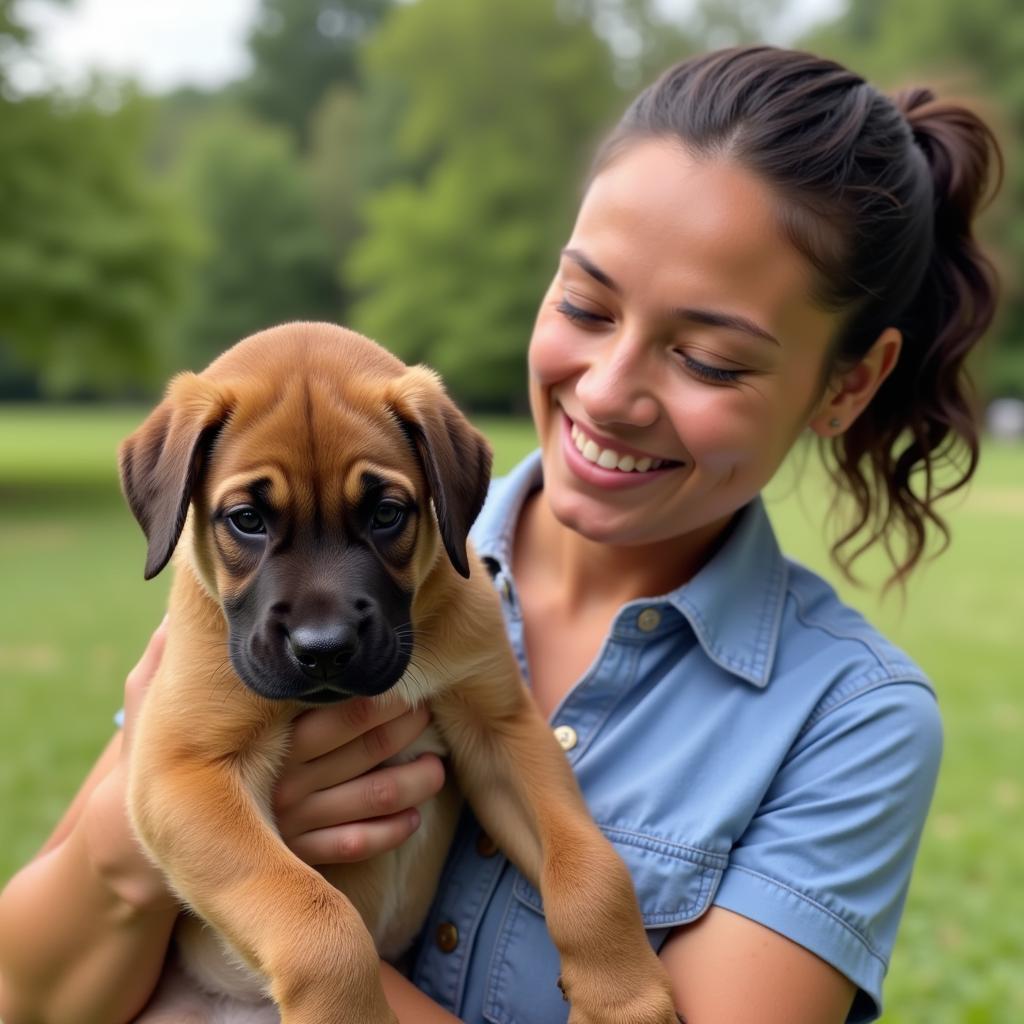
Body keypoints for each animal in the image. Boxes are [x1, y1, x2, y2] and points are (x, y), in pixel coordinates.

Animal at [119, 321, 675, 1024]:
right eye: (246, 520)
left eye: (386, 513)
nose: (323, 649)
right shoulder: (183, 771)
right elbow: (316, 922)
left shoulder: (503, 728)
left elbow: (590, 870)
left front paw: (623, 995)